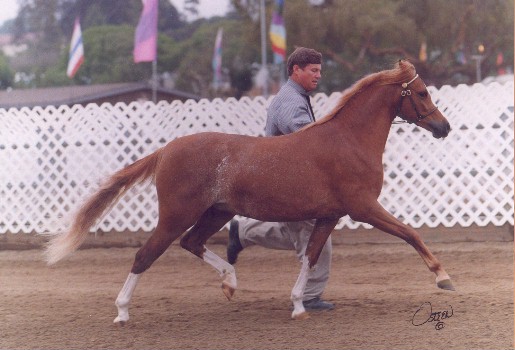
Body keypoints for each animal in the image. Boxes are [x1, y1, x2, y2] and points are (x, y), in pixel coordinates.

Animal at [46, 60, 454, 322]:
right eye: (421, 92)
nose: (444, 128)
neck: (347, 141)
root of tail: (166, 150)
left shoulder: (330, 215)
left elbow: (310, 257)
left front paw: (299, 305)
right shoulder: (364, 207)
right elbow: (411, 233)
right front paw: (443, 277)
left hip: (218, 212)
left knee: (192, 243)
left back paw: (230, 281)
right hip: (177, 215)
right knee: (146, 255)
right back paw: (122, 312)